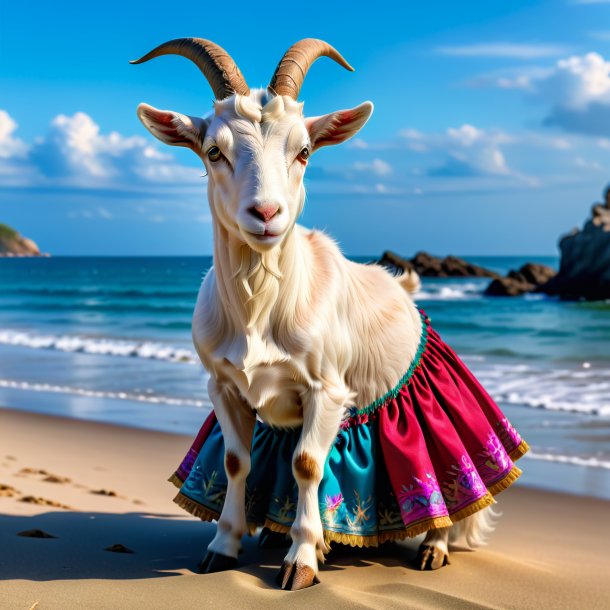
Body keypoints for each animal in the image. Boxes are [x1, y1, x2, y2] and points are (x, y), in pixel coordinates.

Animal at [131, 35, 524, 588]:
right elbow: (235, 461)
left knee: (452, 485)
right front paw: (224, 547)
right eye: (213, 151)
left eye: (303, 151)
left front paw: (301, 561)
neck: (261, 308)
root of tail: (402, 286)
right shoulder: (224, 386)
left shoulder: (327, 390)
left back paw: (434, 545)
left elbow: (308, 465)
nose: (266, 214)